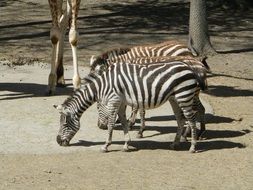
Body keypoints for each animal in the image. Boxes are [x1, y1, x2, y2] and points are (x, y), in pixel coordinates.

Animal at [53, 59, 208, 153]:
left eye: (64, 124)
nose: (58, 142)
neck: (102, 85)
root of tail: (189, 67)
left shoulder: (114, 100)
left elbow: (111, 123)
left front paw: (106, 145)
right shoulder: (120, 102)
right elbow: (123, 122)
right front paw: (126, 144)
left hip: (184, 96)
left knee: (191, 119)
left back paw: (193, 146)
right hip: (174, 98)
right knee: (180, 119)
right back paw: (175, 144)